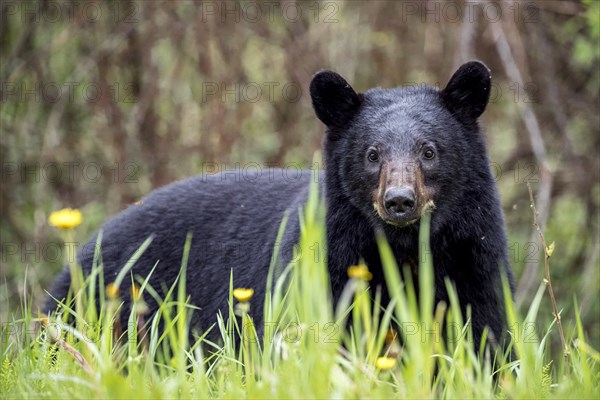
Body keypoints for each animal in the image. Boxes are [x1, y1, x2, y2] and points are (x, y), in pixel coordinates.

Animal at [44, 61, 512, 348]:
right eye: (372, 154)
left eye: (429, 151)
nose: (399, 201)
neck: (405, 247)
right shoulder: (328, 261)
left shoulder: (474, 256)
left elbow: (485, 331)